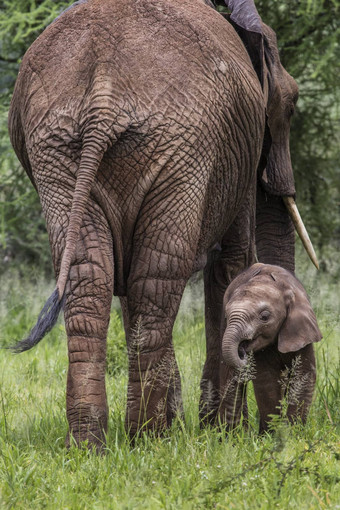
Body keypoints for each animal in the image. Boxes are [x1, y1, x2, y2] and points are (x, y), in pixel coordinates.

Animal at [220, 262, 322, 434]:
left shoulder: (302, 331)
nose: (242, 350)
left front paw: (294, 432)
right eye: (226, 317)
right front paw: (273, 433)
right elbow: (266, 380)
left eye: (265, 317)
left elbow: (304, 376)